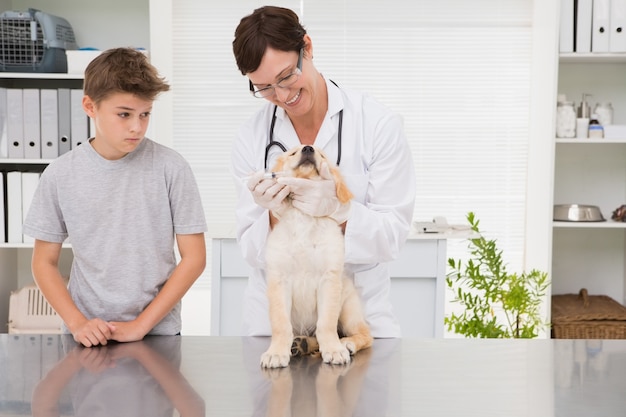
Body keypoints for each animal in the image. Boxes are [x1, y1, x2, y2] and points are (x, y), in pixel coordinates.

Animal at [260, 145, 370, 366]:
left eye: (322, 155)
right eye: (292, 153)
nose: (308, 148)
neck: (305, 218)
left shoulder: (328, 280)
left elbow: (326, 324)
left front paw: (334, 350)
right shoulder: (279, 280)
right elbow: (281, 324)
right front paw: (276, 352)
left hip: (349, 309)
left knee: (366, 334)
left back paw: (346, 343)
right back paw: (301, 344)